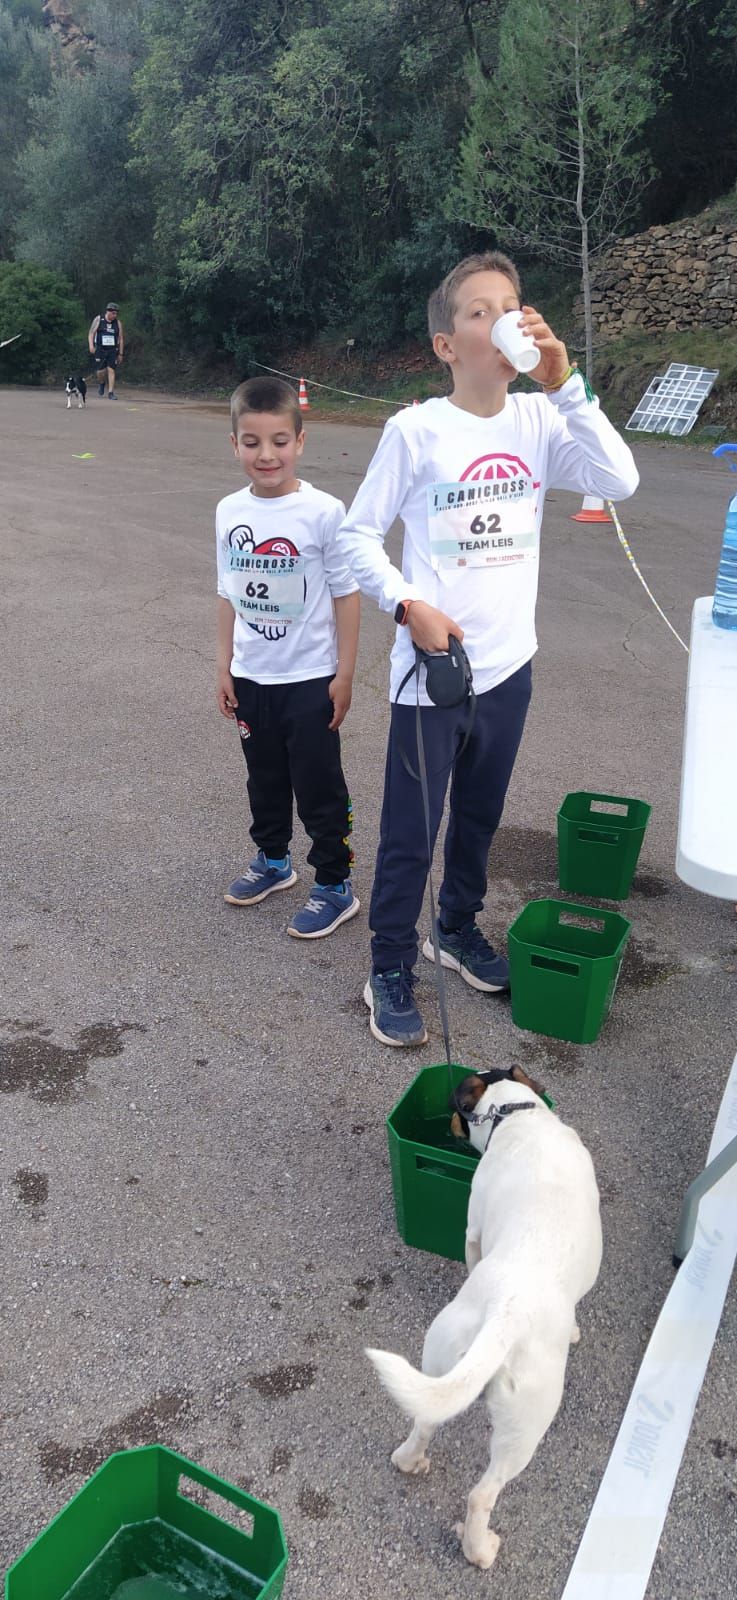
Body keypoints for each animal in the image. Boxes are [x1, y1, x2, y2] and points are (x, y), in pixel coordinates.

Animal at [364, 1068, 601, 1568]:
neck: (517, 1116)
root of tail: (503, 1315)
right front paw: (573, 1331)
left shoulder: (472, 1230)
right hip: (527, 1424)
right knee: (482, 1494)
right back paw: (480, 1550)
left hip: (439, 1360)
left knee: (425, 1421)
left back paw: (409, 1461)